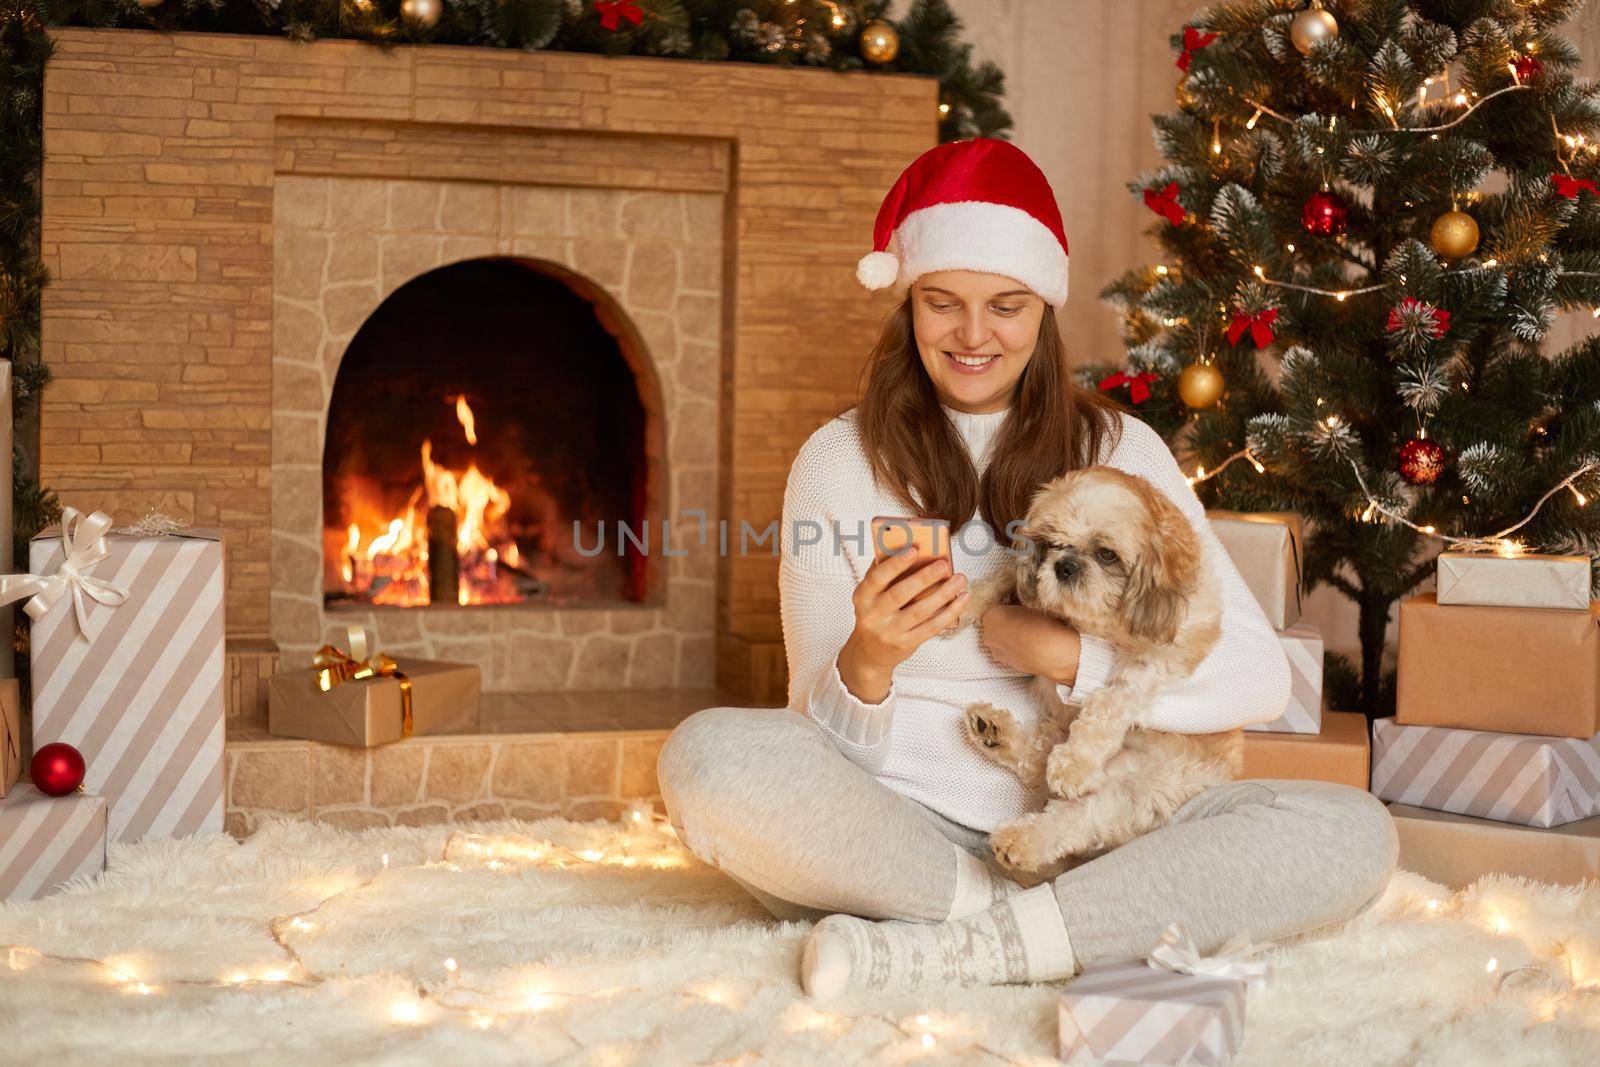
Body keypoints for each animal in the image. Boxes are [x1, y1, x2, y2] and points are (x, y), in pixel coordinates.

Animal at [953, 463, 1228, 883]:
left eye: (1106, 554)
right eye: (1051, 543)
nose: (1064, 566)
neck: (1097, 624)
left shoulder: (1152, 664)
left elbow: (1108, 704)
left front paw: (1076, 761)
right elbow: (1004, 578)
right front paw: (964, 603)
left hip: (1134, 792)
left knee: (1072, 816)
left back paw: (1025, 835)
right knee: (1037, 758)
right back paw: (993, 732)